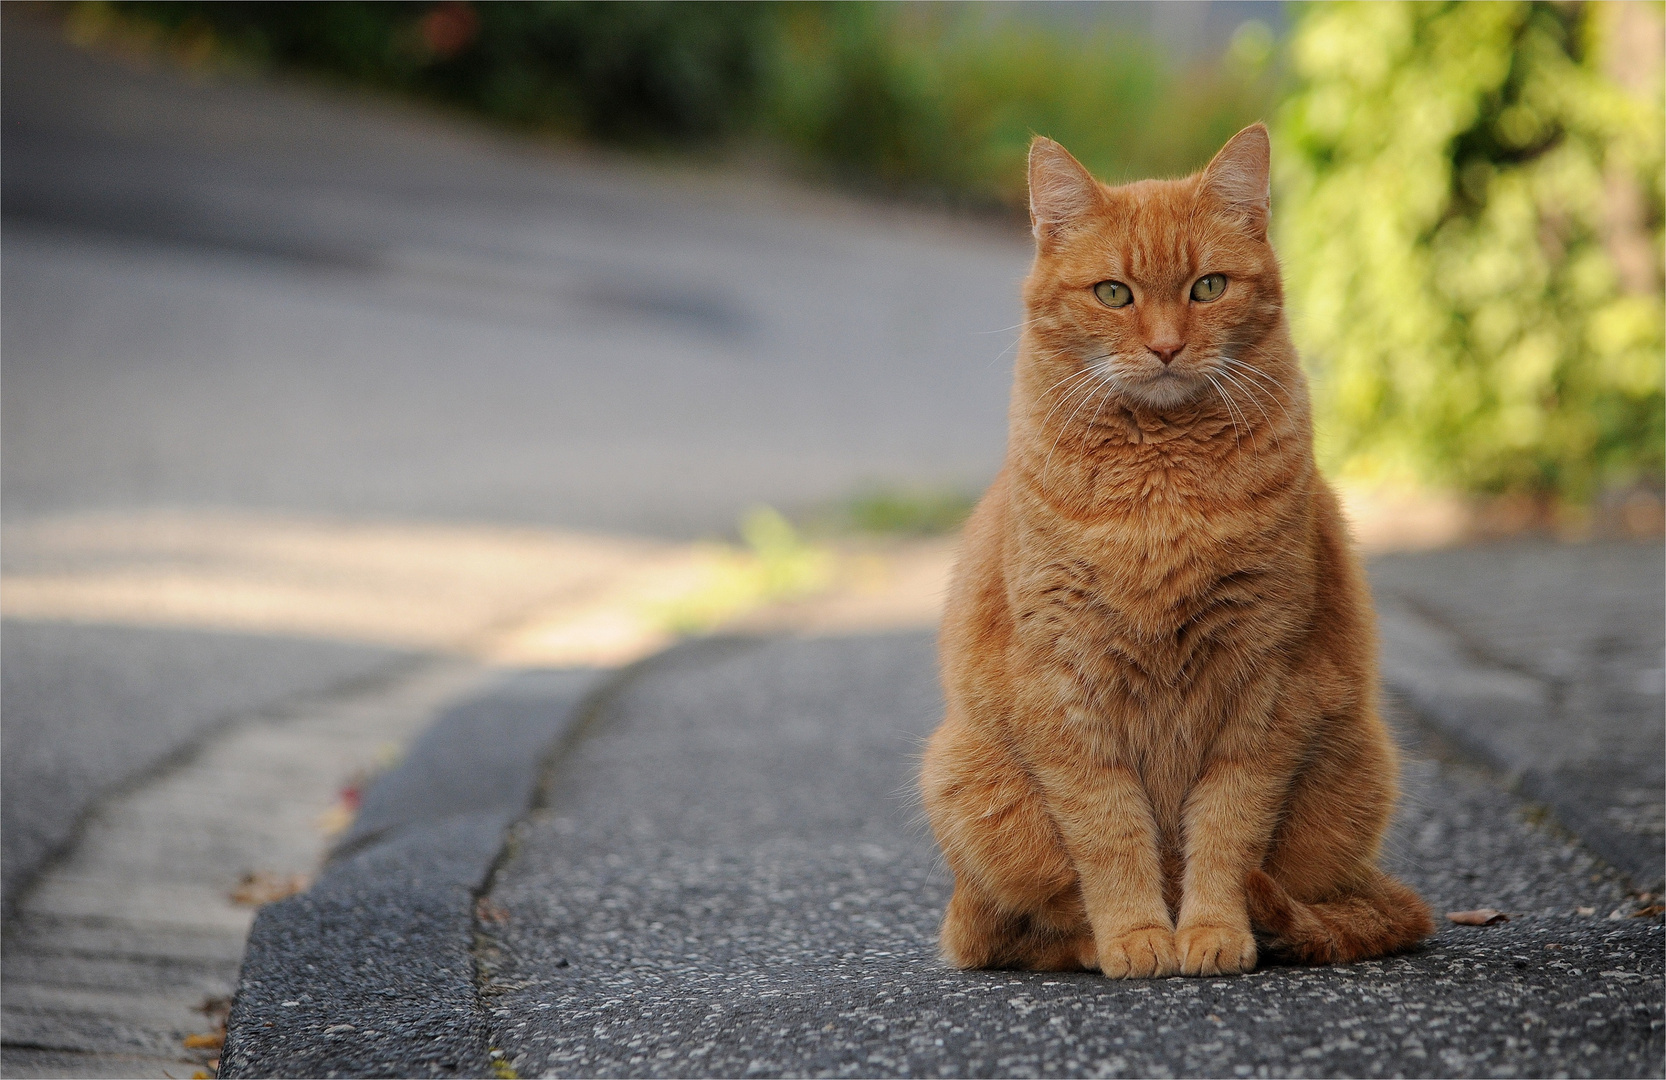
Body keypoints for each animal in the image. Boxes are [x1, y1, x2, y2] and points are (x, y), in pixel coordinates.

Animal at [926, 122, 1432, 973]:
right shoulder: (1065, 689)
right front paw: (1137, 936)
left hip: (1357, 772)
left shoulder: (1266, 685)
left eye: (1207, 287)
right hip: (966, 780)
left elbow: (1226, 832)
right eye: (1113, 294)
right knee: (1025, 929)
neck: (1162, 487)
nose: (1165, 347)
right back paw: (1094, 944)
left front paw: (1213, 933)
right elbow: (1110, 833)